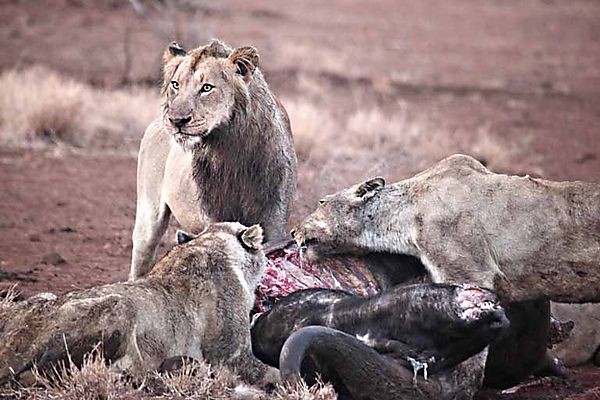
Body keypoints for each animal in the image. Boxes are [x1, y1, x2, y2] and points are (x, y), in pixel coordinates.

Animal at [0, 222, 272, 384]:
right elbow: (271, 373)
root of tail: (13, 346)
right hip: (121, 305)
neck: (208, 243)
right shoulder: (231, 355)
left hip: (41, 297)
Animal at [130, 39, 296, 278]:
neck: (230, 150)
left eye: (206, 88)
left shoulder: (275, 221)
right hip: (148, 218)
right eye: (175, 85)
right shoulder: (213, 219)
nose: (176, 120)